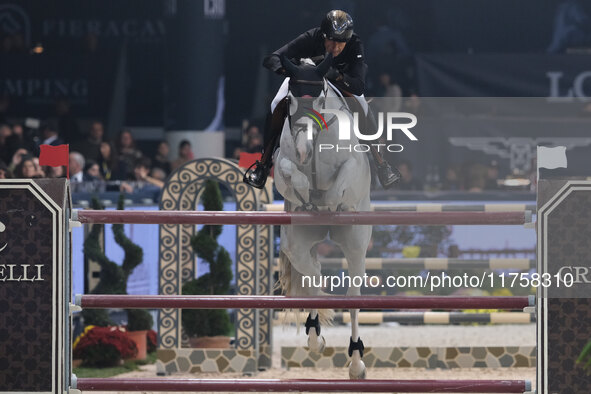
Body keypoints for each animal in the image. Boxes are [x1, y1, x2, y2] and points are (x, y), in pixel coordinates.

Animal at [276, 56, 372, 378]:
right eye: (291, 100)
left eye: (318, 99)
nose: (304, 151)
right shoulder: (282, 166)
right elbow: (288, 172)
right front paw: (306, 193)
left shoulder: (352, 166)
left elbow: (339, 184)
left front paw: (329, 205)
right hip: (296, 245)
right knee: (313, 276)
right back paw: (315, 336)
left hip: (356, 246)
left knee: (353, 297)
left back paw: (356, 363)